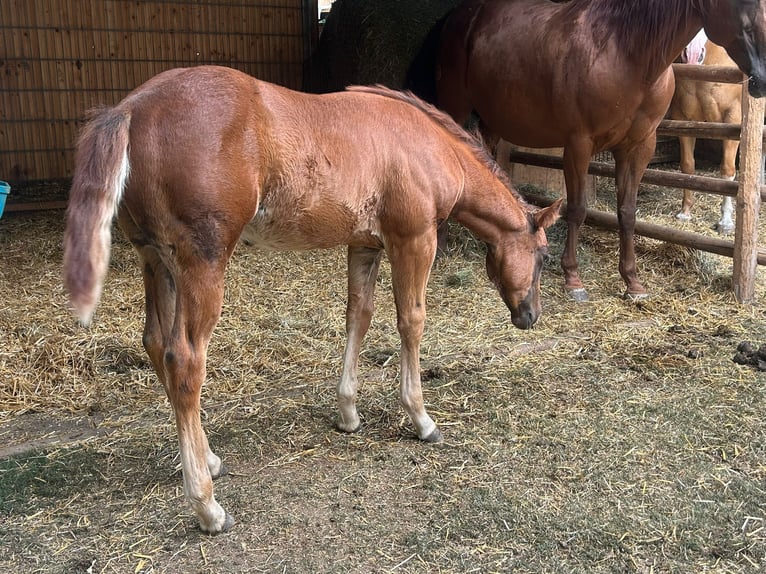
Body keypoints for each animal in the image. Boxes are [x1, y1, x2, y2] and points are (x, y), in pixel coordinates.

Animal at [62, 65, 562, 534]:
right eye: (543, 255)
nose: (530, 315)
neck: (426, 145)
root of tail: (131, 108)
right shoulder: (414, 239)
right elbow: (411, 320)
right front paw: (421, 418)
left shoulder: (365, 244)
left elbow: (358, 315)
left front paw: (348, 413)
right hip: (201, 262)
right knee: (184, 361)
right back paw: (207, 506)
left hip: (156, 261)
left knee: (154, 344)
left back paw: (209, 460)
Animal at [671, 29, 741, 235]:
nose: (693, 54)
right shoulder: (683, 119)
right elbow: (687, 166)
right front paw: (685, 212)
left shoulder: (733, 119)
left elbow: (727, 170)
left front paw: (726, 222)